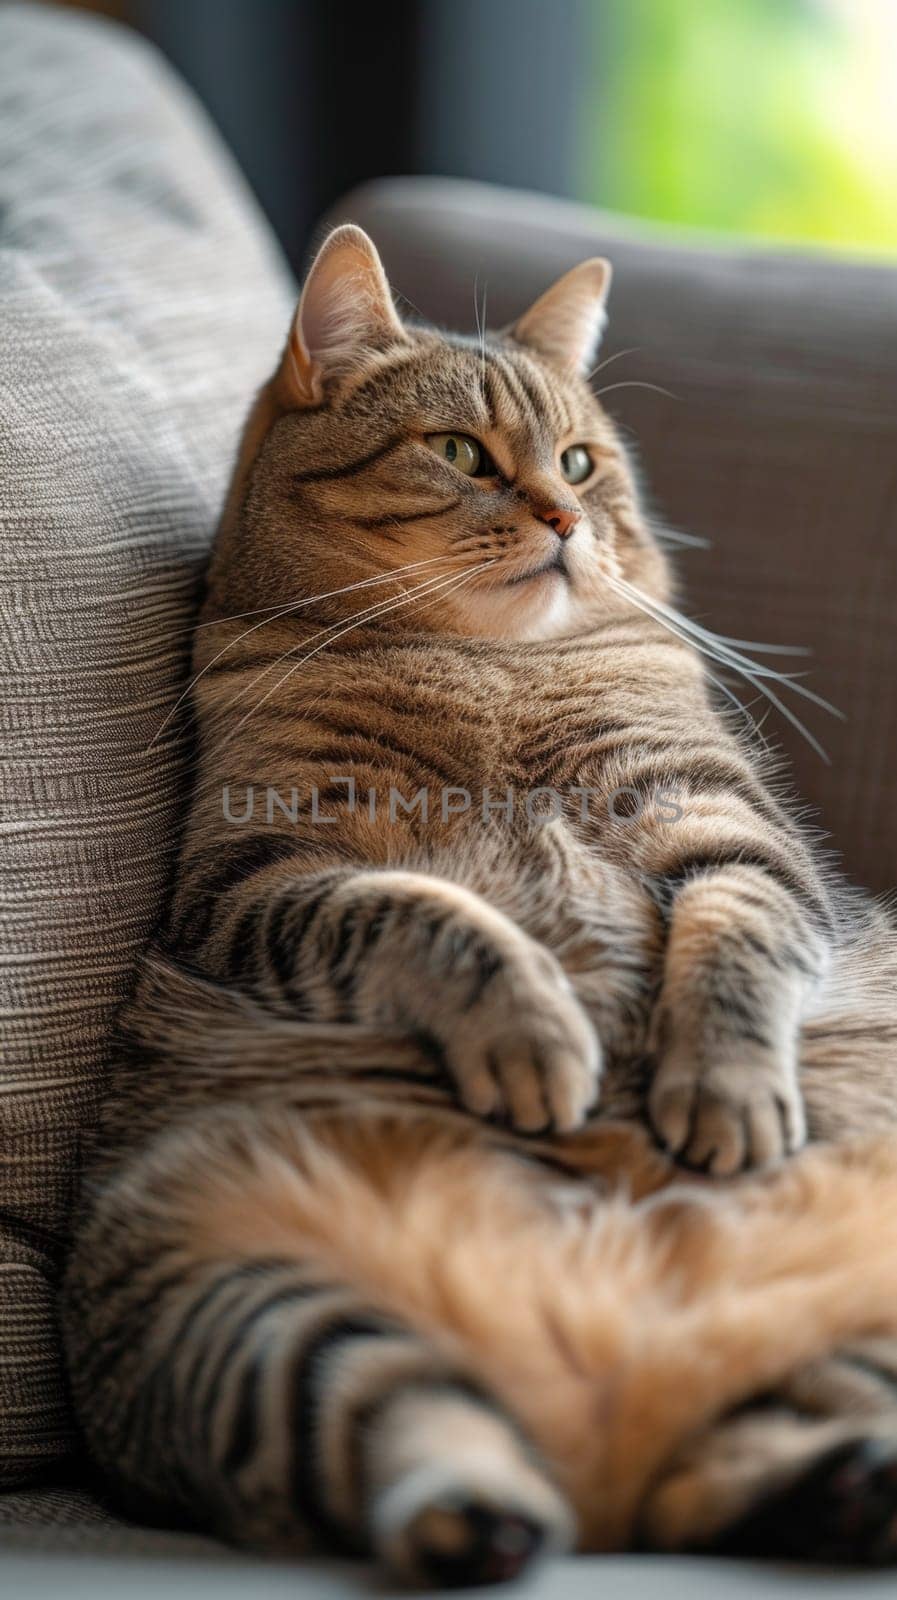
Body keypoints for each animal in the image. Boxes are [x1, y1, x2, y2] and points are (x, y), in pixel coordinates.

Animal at [61, 225, 895, 1587]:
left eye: (579, 463)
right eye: (461, 452)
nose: (563, 515)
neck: (486, 670)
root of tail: (610, 1404)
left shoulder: (729, 831)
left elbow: (736, 944)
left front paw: (723, 1091)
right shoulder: (263, 875)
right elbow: (438, 921)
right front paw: (540, 1037)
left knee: (739, 1451)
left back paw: (847, 1489)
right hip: (235, 1294)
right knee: (417, 1417)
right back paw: (488, 1517)